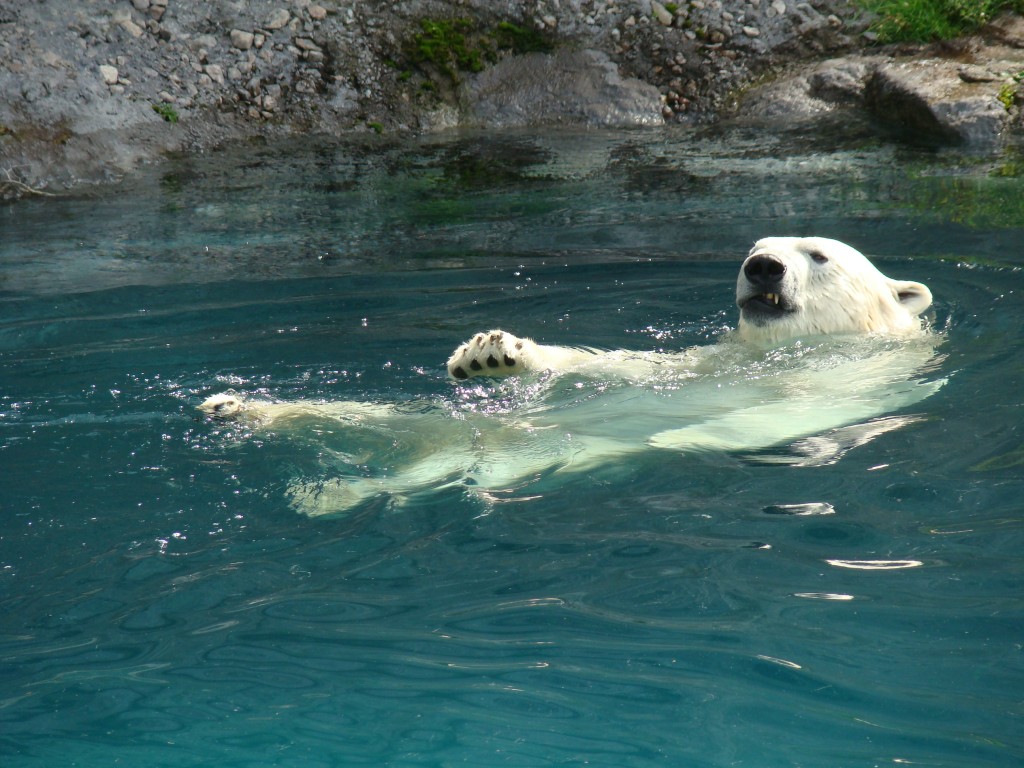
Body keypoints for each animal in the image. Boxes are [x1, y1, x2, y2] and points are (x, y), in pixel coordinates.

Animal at [199, 237, 942, 520]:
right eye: (754, 248)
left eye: (818, 255)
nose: (761, 266)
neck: (790, 352)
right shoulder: (711, 355)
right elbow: (616, 365)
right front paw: (488, 354)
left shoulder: (848, 382)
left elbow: (775, 415)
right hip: (422, 424)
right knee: (367, 419)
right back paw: (241, 411)